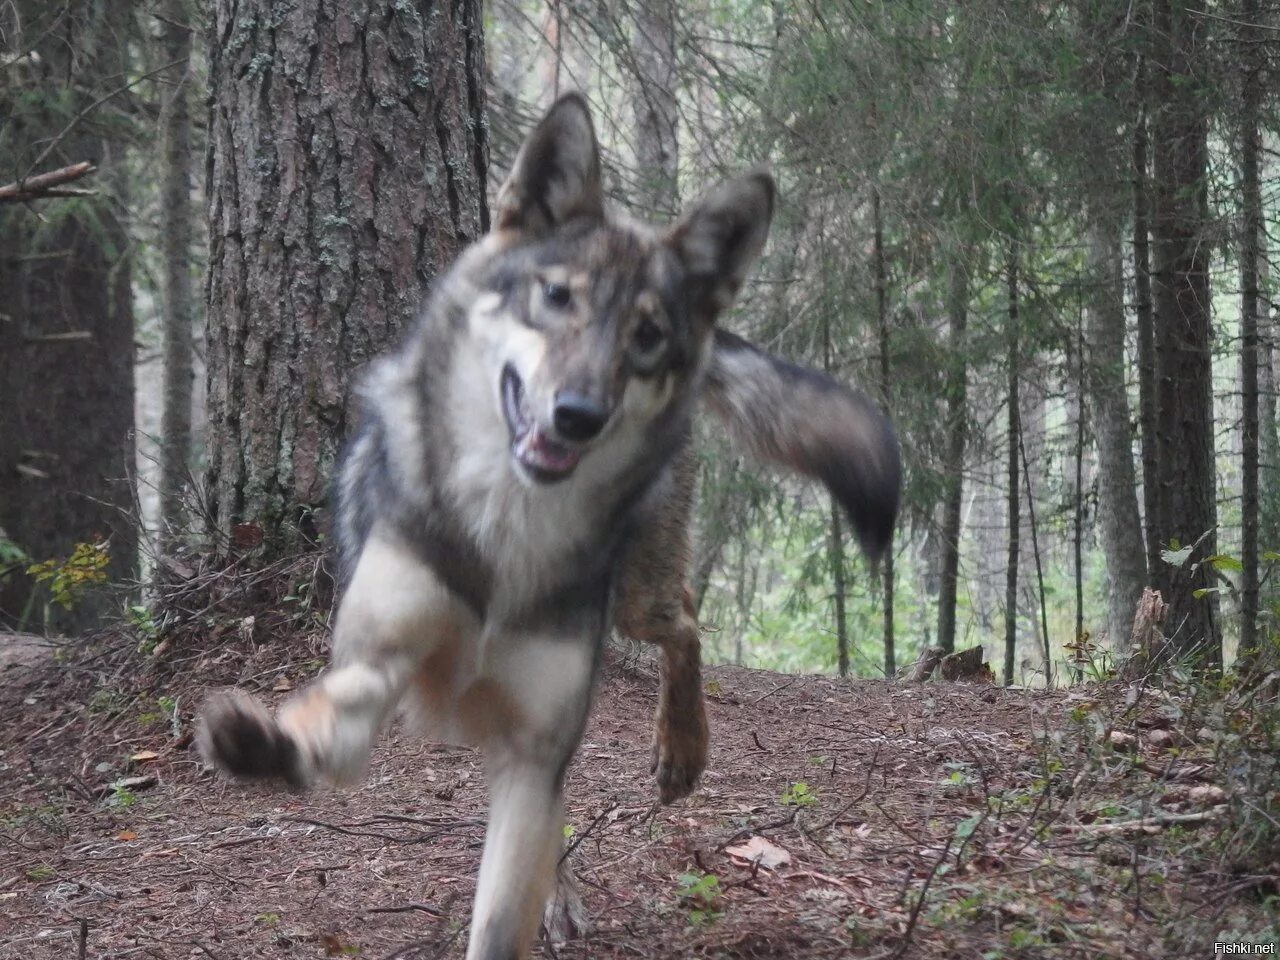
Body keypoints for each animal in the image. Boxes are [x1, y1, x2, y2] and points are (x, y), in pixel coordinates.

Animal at [199, 92, 901, 960]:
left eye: (646, 336)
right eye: (559, 297)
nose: (577, 415)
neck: (511, 524)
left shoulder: (537, 750)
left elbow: (502, 922)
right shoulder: (384, 661)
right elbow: (329, 719)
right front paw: (269, 747)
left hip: (635, 601)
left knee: (685, 621)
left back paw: (681, 753)